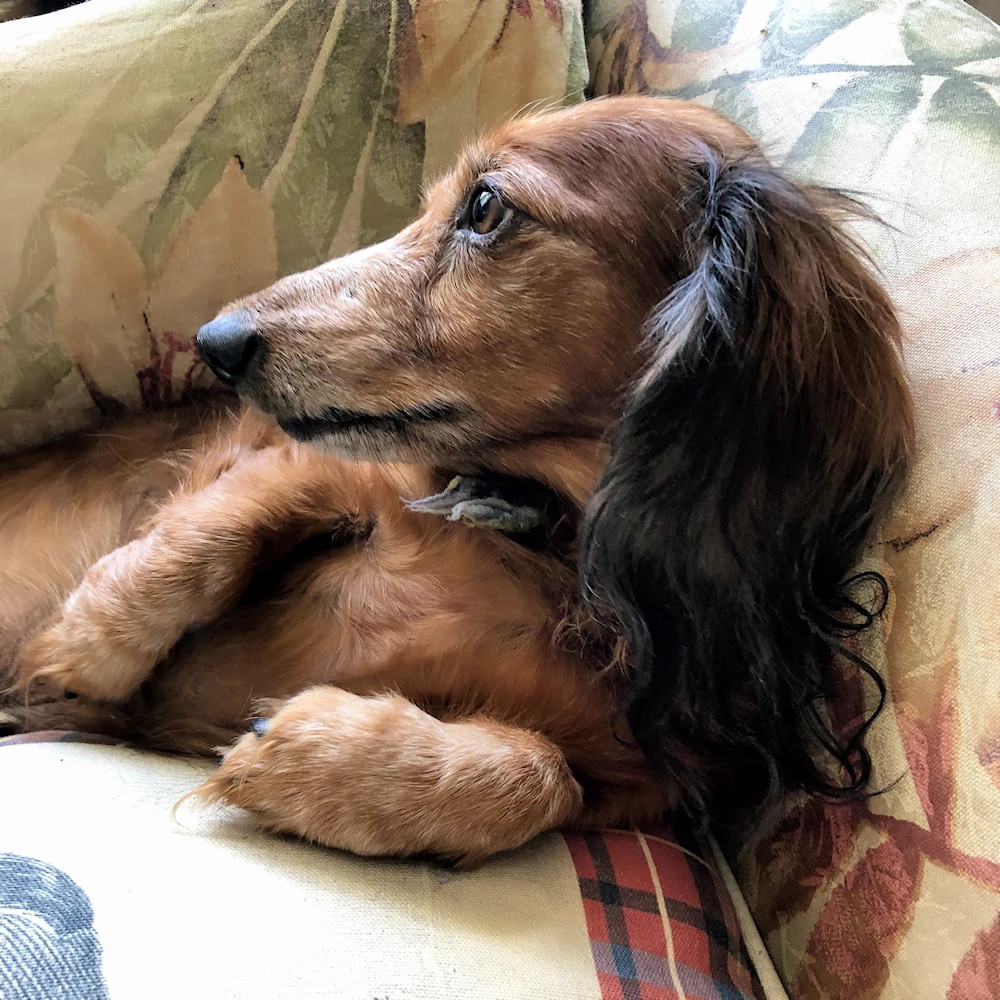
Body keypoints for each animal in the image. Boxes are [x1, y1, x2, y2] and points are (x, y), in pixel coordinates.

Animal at [0, 97, 912, 864]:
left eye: (485, 208)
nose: (215, 341)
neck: (551, 543)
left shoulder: (643, 785)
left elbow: (539, 779)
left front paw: (307, 757)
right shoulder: (308, 467)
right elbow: (207, 539)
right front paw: (79, 655)